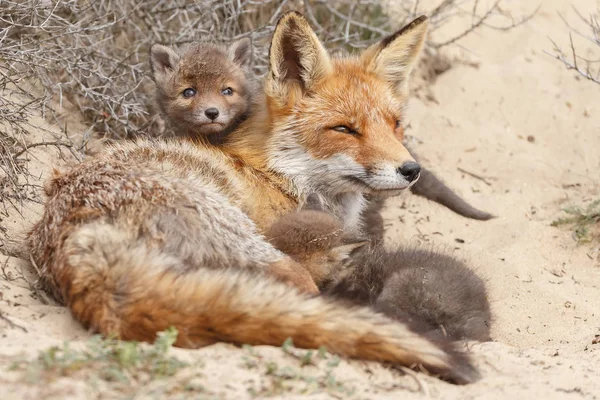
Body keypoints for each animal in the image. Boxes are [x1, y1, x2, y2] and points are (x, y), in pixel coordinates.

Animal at [28, 11, 478, 382]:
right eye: (344, 129)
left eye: (395, 124)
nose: (411, 170)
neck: (283, 177)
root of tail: (80, 244)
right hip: (252, 241)